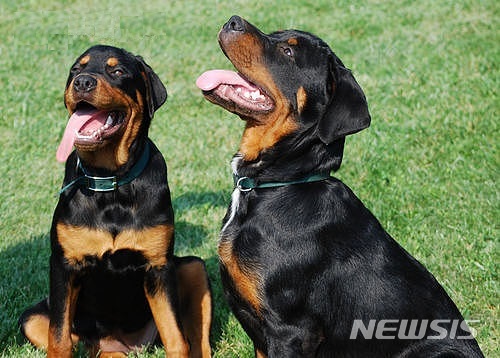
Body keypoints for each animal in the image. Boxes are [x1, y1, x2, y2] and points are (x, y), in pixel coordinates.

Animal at [18, 46, 211, 356]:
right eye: (76, 69)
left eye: (117, 71)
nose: (82, 82)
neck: (111, 183)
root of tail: (123, 343)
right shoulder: (63, 265)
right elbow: (58, 337)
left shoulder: (159, 267)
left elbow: (176, 338)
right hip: (33, 317)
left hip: (192, 266)